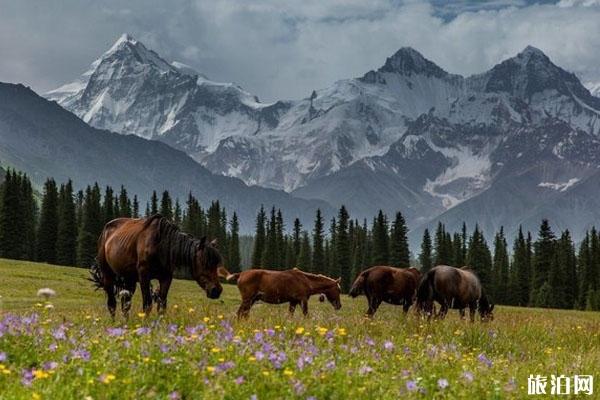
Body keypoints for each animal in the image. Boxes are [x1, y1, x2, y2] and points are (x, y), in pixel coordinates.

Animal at [92, 214, 224, 318]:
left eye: (216, 264)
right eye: (205, 263)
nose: (216, 290)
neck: (161, 246)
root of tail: (105, 232)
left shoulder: (166, 277)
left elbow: (161, 306)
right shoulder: (144, 276)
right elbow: (147, 304)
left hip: (129, 279)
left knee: (125, 304)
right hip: (108, 275)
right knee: (112, 303)